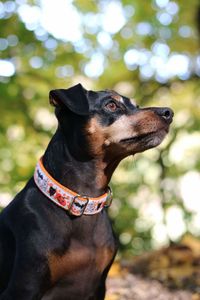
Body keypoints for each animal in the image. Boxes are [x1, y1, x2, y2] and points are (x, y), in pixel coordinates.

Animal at [0, 83, 173, 298]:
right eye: (111, 105)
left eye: (137, 105)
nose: (169, 112)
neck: (82, 203)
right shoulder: (24, 287)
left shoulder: (98, 286)